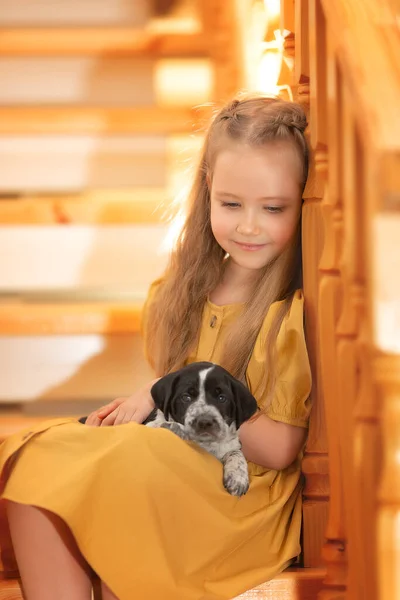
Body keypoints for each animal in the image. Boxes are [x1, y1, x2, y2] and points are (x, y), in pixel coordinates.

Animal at [145, 360, 258, 496]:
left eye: (222, 398)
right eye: (186, 397)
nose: (205, 422)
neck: (205, 444)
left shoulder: (231, 445)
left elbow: (236, 453)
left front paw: (238, 477)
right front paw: (173, 427)